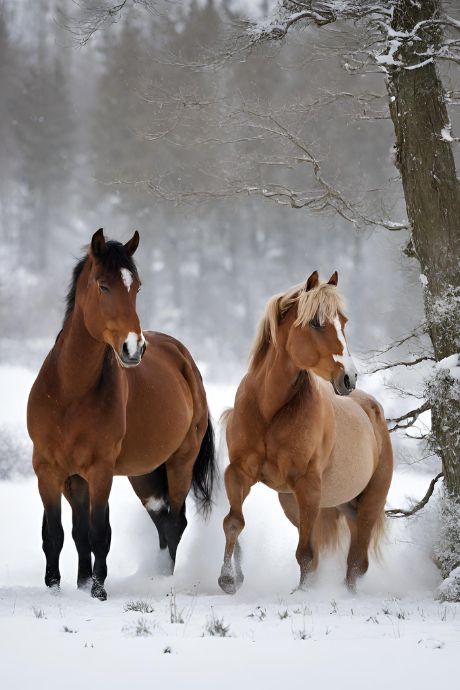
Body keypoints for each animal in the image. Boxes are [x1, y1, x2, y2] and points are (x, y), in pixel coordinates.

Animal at [27, 229, 215, 600]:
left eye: (137, 287)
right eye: (103, 286)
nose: (134, 348)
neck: (68, 393)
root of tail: (183, 357)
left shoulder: (100, 471)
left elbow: (98, 532)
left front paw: (98, 588)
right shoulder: (52, 470)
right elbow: (62, 533)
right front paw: (63, 586)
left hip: (180, 461)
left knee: (176, 522)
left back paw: (166, 582)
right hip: (143, 474)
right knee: (161, 520)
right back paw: (155, 576)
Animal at [218, 270, 393, 594]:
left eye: (343, 321)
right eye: (316, 322)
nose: (348, 377)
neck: (270, 411)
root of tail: (371, 408)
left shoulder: (308, 484)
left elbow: (306, 554)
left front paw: (302, 595)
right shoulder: (239, 472)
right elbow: (233, 523)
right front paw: (228, 580)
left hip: (368, 504)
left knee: (356, 564)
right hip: (314, 505)